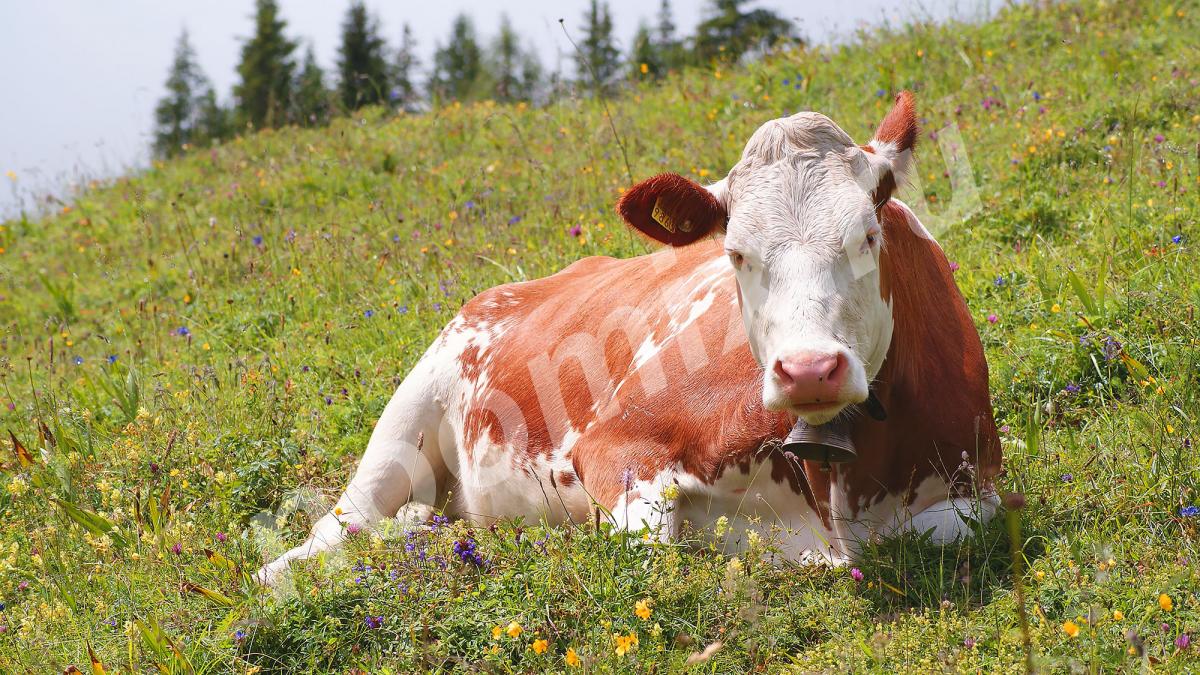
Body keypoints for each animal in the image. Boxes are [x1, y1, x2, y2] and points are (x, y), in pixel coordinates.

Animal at [260, 90, 1003, 583]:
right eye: (735, 254)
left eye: (868, 236)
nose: (809, 369)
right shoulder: (614, 444)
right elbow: (654, 549)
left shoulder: (979, 485)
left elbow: (950, 530)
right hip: (406, 422)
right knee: (332, 531)